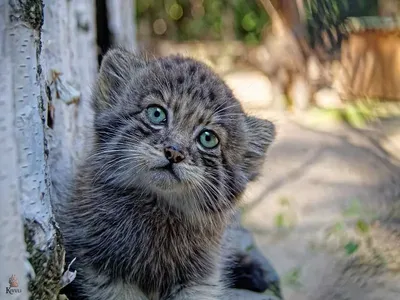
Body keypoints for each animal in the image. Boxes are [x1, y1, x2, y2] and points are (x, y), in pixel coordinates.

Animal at [57, 48, 276, 298]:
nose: (174, 152)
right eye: (156, 113)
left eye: (208, 138)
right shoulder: (99, 268)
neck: (159, 210)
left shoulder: (201, 278)